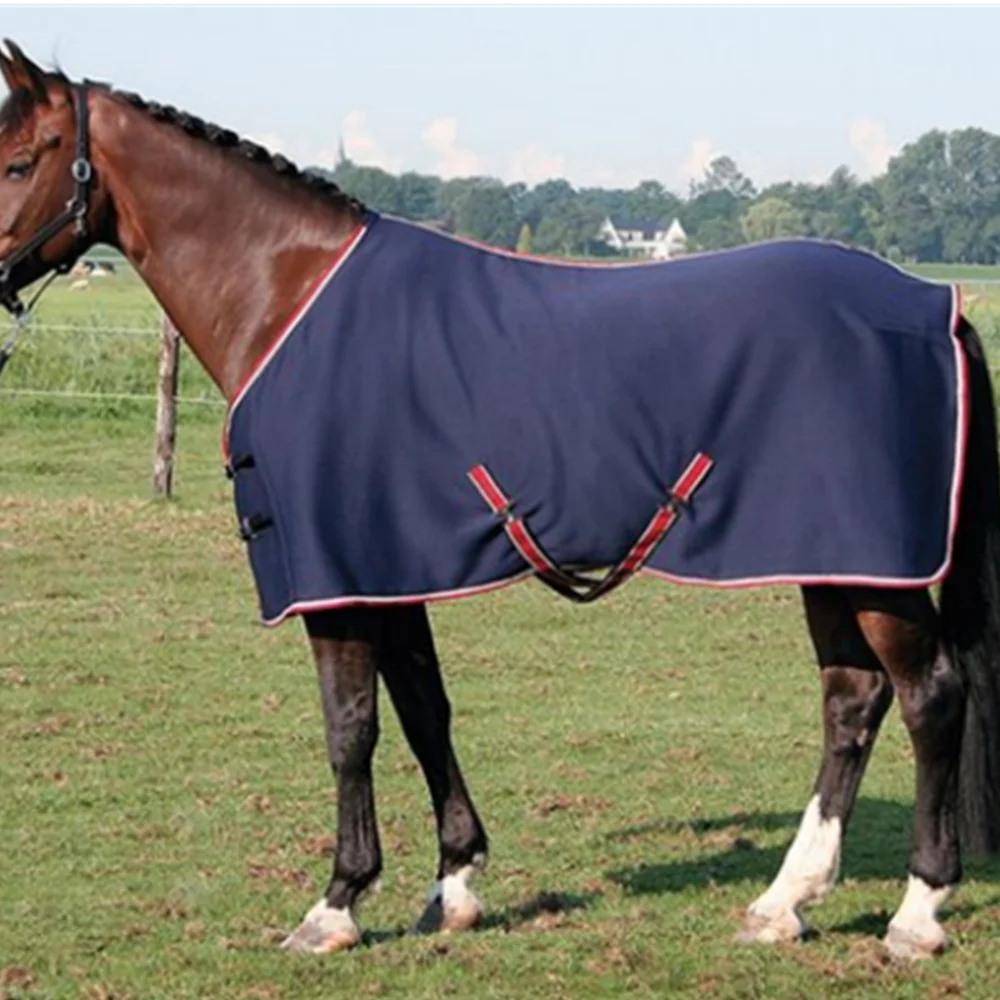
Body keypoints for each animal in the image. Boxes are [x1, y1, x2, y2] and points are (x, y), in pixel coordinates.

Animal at [0, 41, 998, 961]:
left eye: (17, 162)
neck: (288, 297)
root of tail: (934, 305)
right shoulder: (387, 570)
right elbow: (423, 710)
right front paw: (454, 884)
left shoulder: (337, 581)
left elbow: (350, 729)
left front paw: (336, 903)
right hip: (828, 559)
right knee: (851, 701)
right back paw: (784, 901)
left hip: (872, 569)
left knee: (930, 697)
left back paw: (917, 912)